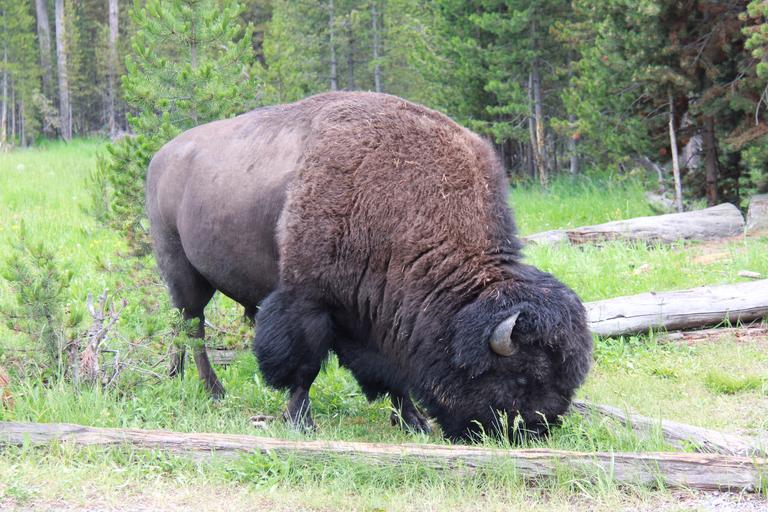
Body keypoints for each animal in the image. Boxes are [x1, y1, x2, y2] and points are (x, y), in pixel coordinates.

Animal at [146, 92, 593, 441]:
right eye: (522, 376)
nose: (536, 429)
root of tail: (161, 156)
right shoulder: (307, 302)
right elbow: (304, 367)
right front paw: (301, 422)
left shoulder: (373, 315)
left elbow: (392, 374)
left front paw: (413, 422)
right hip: (183, 273)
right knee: (193, 328)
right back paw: (213, 390)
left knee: (183, 329)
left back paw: (177, 377)